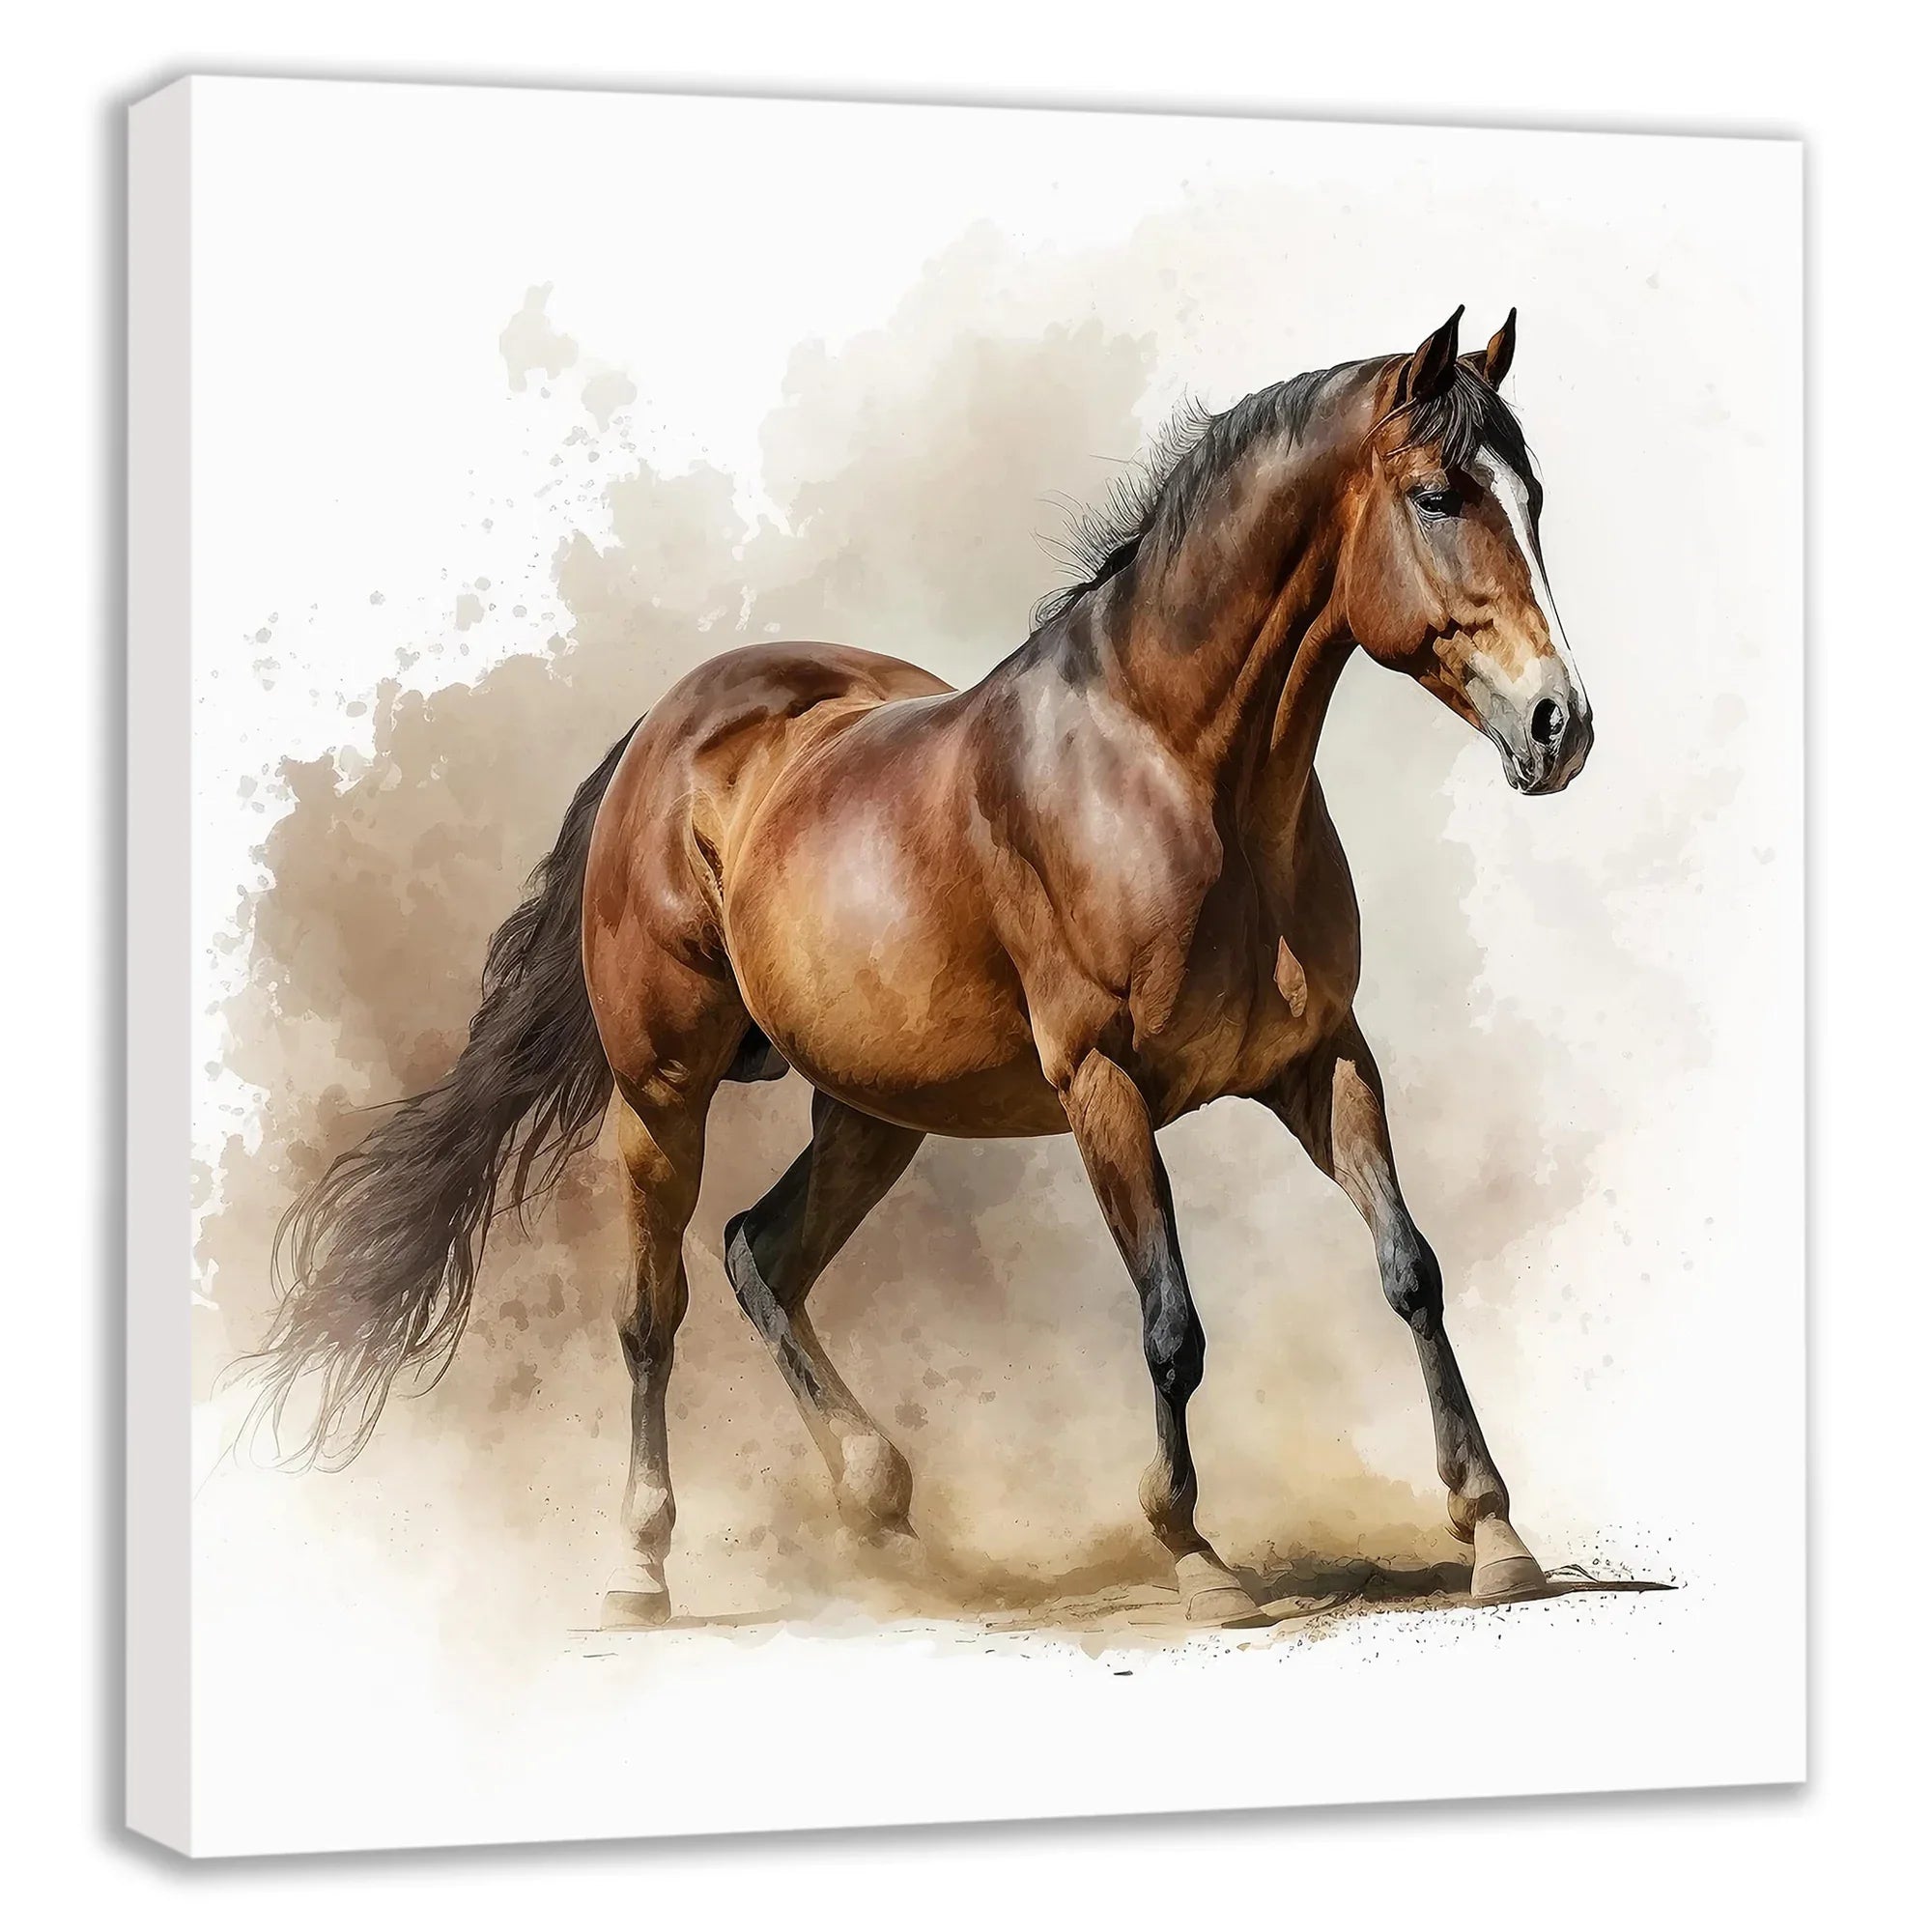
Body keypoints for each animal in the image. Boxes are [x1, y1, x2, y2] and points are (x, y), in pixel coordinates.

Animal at [256, 306, 1594, 1630]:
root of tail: (665, 729)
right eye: (1436, 494)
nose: (1559, 726)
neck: (1169, 768)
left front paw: (1493, 1532)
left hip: (872, 1110)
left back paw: (878, 1501)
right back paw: (640, 1562)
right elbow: (1169, 1322)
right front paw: (1191, 1553)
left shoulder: (1321, 1060)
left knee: (758, 1251)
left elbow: (1409, 1270)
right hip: (661, 1094)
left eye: (1531, 494)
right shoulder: (1101, 1084)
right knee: (651, 1311)